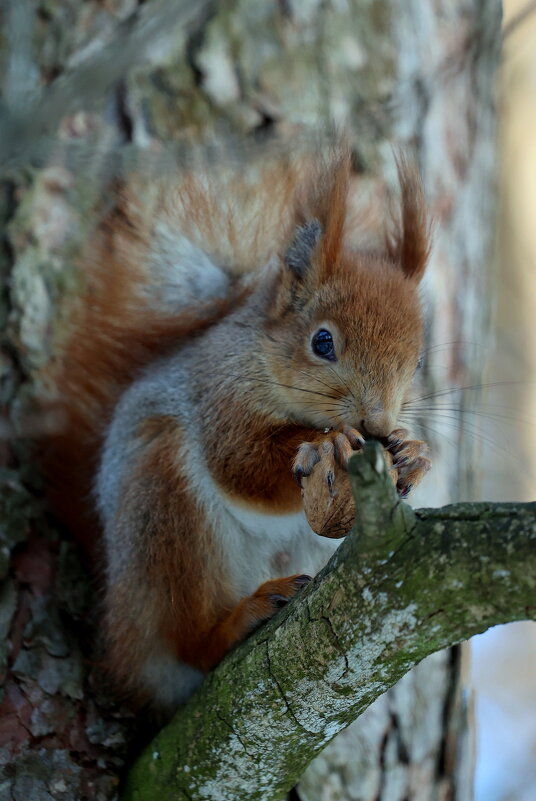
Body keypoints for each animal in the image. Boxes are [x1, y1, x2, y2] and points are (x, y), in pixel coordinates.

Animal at [44, 141, 434, 708]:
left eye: (419, 361)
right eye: (322, 342)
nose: (378, 422)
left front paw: (412, 454)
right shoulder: (219, 396)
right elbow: (240, 465)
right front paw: (330, 442)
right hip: (166, 509)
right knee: (188, 642)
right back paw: (233, 623)